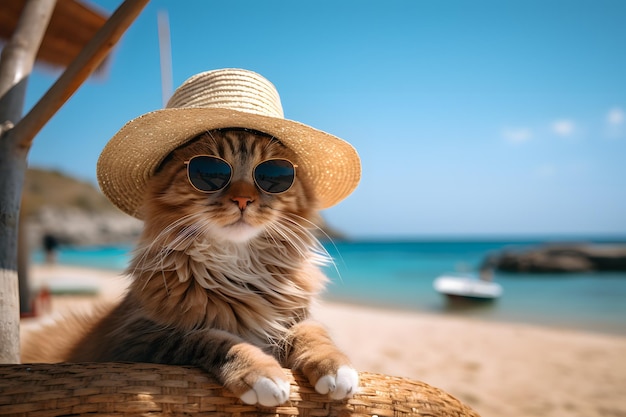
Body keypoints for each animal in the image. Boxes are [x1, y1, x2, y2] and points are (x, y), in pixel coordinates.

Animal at [22, 128, 358, 404]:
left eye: (272, 176)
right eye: (211, 172)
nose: (243, 200)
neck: (239, 266)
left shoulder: (297, 316)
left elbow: (312, 334)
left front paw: (336, 367)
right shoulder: (136, 340)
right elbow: (213, 339)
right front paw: (260, 373)